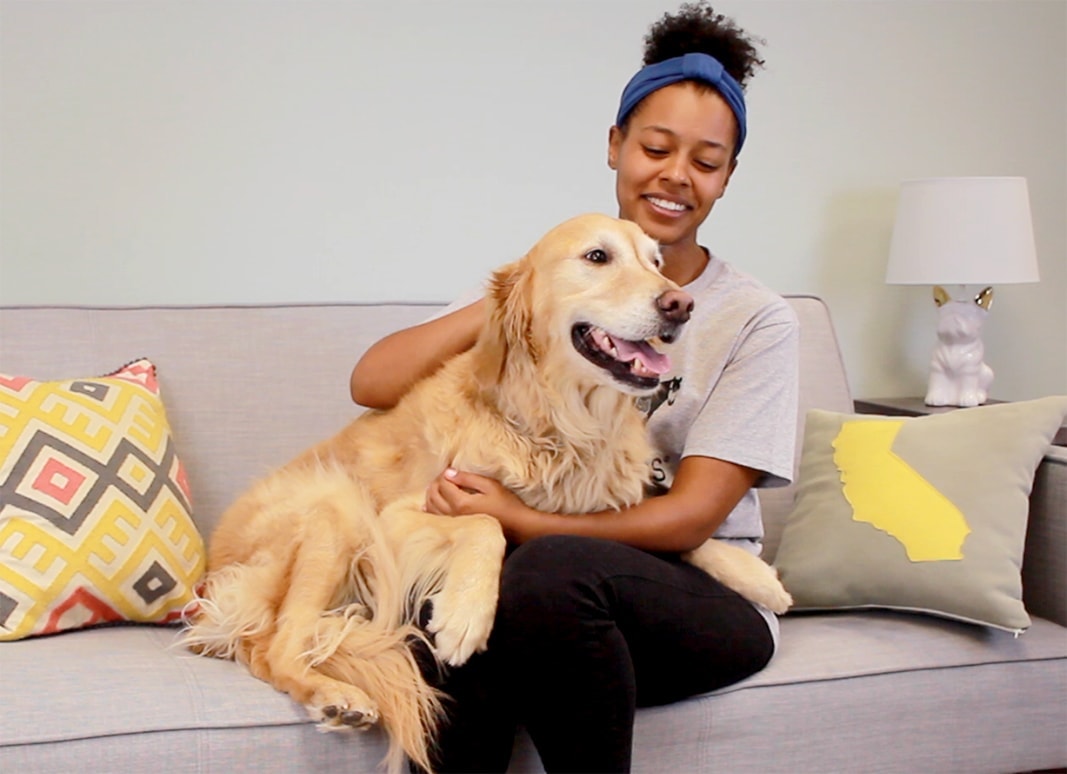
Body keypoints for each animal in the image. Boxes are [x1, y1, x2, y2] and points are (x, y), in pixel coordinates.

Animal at [179, 212, 789, 772]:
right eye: (597, 257)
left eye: (656, 262)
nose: (680, 305)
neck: (560, 424)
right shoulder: (396, 518)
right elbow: (487, 521)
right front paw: (466, 611)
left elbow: (677, 527)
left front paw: (756, 576)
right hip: (338, 506)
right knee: (275, 649)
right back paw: (335, 696)